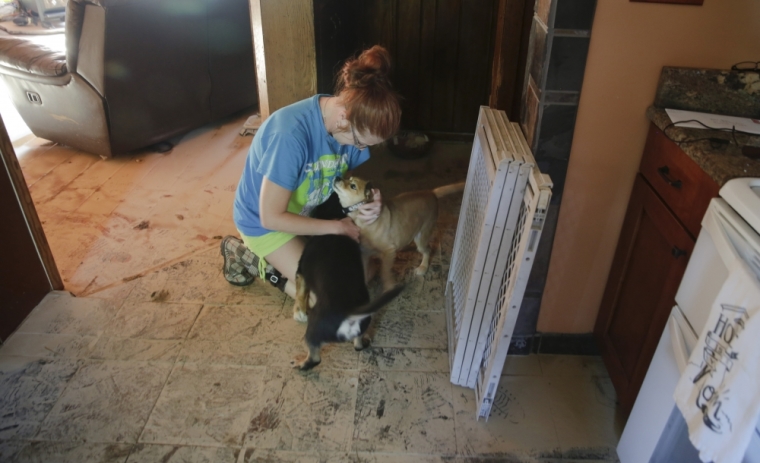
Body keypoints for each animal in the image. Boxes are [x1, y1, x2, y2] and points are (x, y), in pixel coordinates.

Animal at [336, 177, 466, 290]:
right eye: (348, 178)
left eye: (353, 186)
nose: (337, 178)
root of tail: (431, 192)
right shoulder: (364, 254)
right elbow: (364, 272)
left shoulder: (388, 252)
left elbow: (385, 273)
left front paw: (388, 288)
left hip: (421, 237)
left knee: (427, 250)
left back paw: (423, 267)